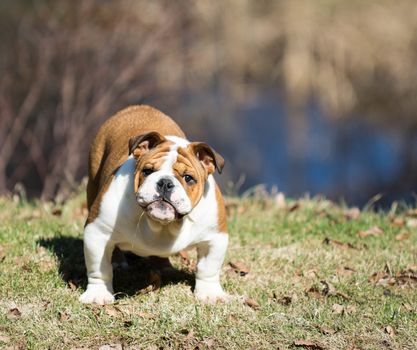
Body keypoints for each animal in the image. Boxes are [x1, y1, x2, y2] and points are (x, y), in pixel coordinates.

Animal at [79, 105, 229, 304]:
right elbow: (100, 269)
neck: (162, 225)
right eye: (147, 171)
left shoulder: (215, 237)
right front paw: (98, 294)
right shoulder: (97, 231)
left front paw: (210, 293)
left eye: (188, 178)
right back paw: (118, 262)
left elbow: (209, 269)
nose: (165, 182)